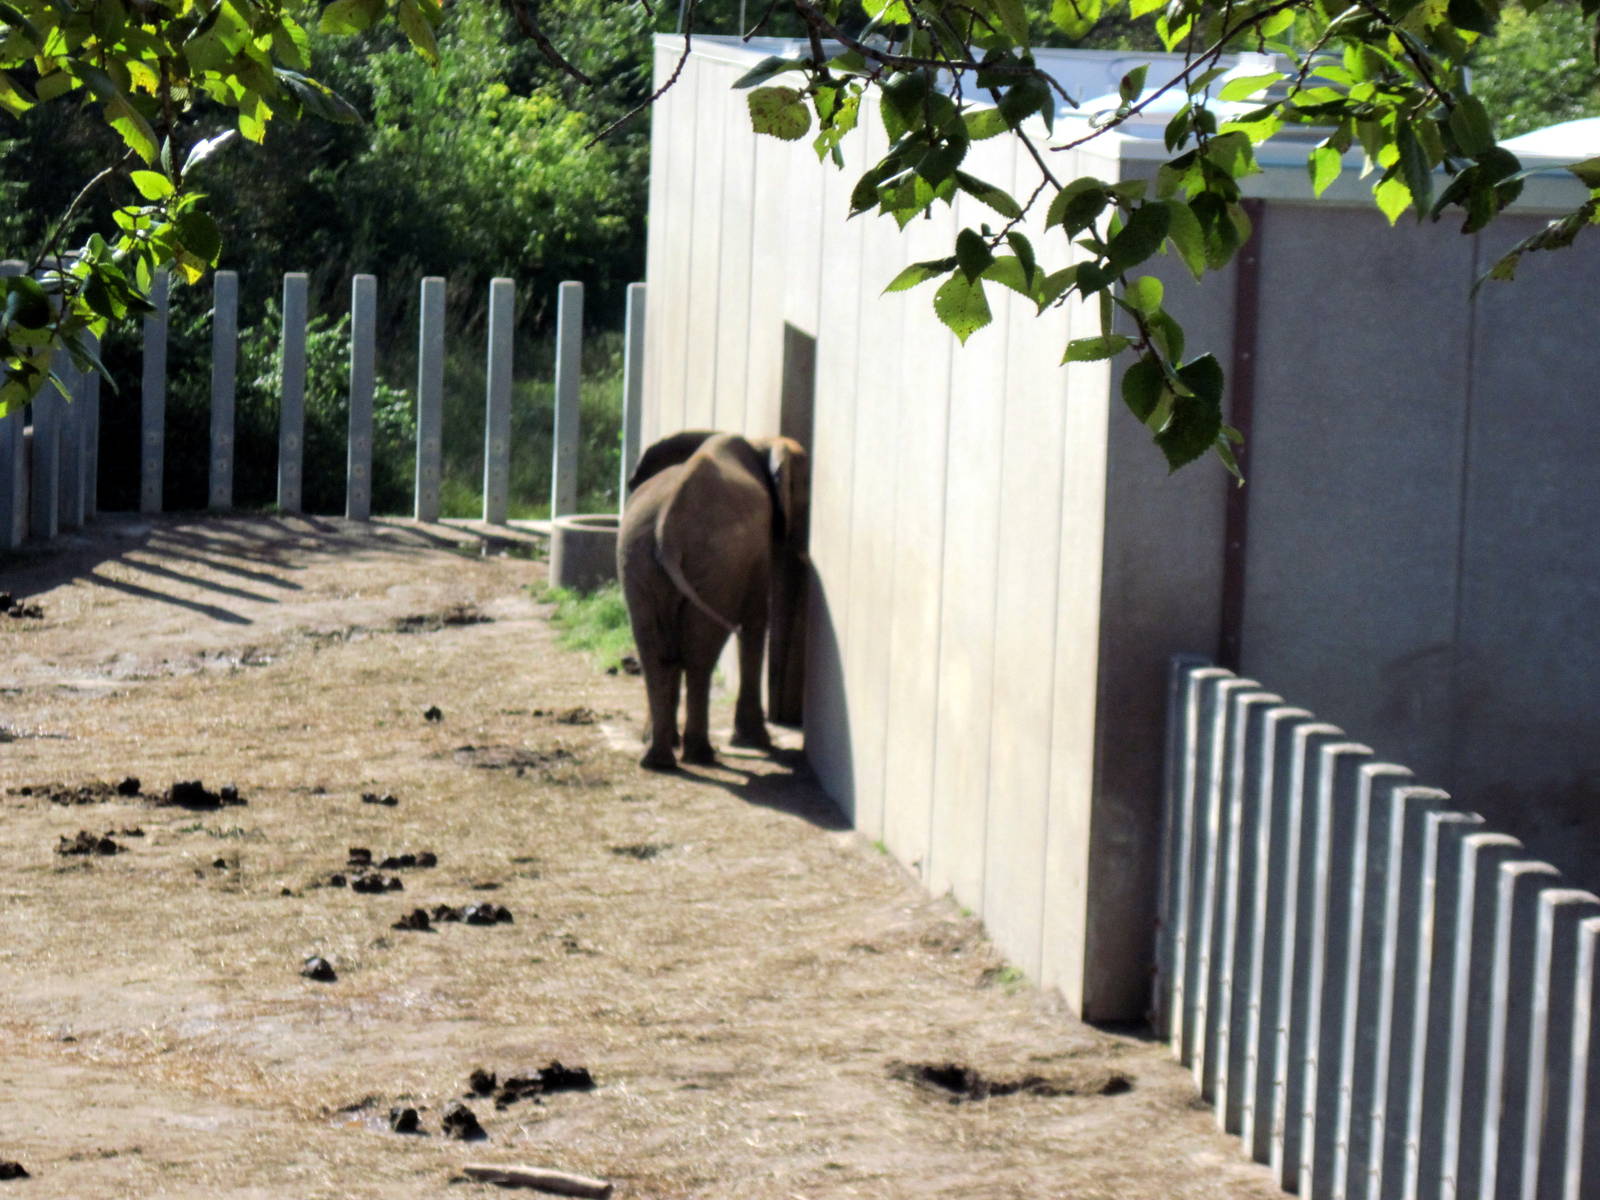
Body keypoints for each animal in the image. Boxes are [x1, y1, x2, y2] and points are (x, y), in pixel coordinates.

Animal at [617, 430, 809, 771]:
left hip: (640, 559)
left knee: (655, 652)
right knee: (699, 656)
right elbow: (756, 623)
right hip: (716, 564)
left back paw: (657, 759)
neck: (759, 442)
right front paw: (756, 742)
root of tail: (668, 528)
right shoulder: (753, 554)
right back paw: (700, 755)